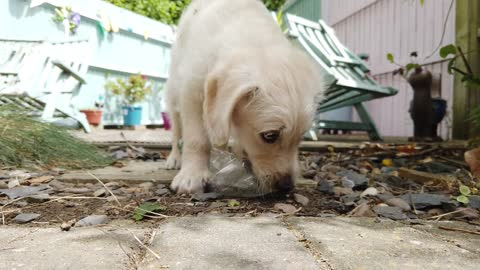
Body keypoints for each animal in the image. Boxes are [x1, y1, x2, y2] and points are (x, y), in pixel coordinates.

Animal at [166, 0, 326, 194]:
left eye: (301, 136)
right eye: (270, 136)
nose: (286, 187)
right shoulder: (192, 90)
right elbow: (196, 140)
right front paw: (192, 175)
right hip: (174, 92)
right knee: (176, 130)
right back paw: (174, 158)